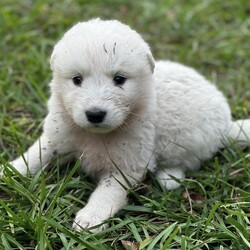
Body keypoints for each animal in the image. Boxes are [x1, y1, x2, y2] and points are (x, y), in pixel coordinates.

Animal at [2, 18, 250, 231]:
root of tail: (227, 125)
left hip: (190, 142)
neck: (95, 135)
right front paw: (10, 171)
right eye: (77, 79)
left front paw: (91, 218)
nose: (95, 114)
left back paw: (169, 177)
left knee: (187, 161)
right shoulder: (57, 136)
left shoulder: (127, 164)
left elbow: (106, 194)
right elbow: (36, 155)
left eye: (119, 80)